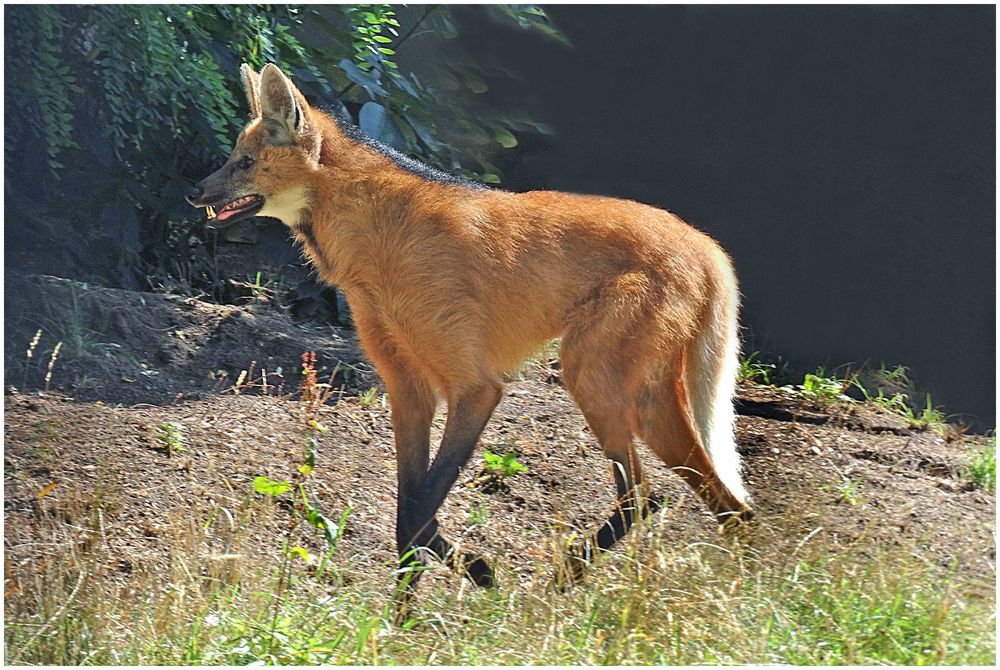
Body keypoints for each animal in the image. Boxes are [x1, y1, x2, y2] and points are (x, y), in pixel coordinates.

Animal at [186, 63, 752, 592]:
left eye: (245, 162)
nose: (194, 191)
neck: (376, 240)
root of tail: (707, 245)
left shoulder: (475, 388)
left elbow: (419, 513)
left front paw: (476, 575)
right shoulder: (408, 391)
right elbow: (409, 512)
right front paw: (406, 618)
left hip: (589, 377)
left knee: (645, 495)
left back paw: (567, 583)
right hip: (646, 401)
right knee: (725, 507)